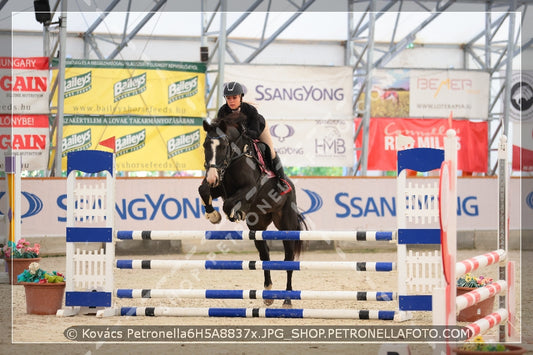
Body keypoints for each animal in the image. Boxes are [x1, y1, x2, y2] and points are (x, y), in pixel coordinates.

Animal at [198, 113, 308, 308]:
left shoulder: (250, 189)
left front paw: (235, 213)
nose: (211, 177)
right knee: (265, 256)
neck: (233, 159)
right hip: (258, 227)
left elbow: (229, 204)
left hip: (287, 225)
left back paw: (287, 299)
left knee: (289, 260)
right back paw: (268, 293)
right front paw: (213, 215)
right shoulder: (219, 187)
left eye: (223, 145)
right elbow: (203, 190)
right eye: (205, 145)